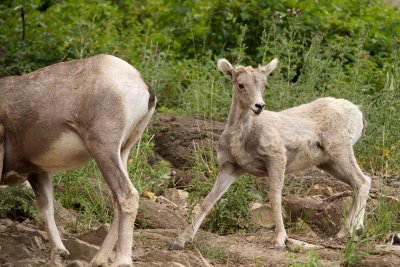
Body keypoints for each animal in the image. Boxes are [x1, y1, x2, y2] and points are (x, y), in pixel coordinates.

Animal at [0, 54, 156, 266]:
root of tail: (142, 84)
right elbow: (46, 211)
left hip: (104, 150)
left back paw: (120, 261)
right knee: (117, 201)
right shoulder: (38, 172)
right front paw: (58, 255)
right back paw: (98, 260)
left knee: (127, 196)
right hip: (123, 152)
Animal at [170, 57, 372, 250]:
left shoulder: (276, 159)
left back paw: (356, 230)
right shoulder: (231, 168)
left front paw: (279, 240)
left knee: (362, 181)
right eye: (241, 85)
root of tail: (357, 112)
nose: (259, 106)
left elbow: (275, 198)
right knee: (358, 183)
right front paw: (179, 241)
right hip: (328, 163)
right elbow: (209, 200)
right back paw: (343, 232)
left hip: (341, 150)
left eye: (264, 85)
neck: (245, 136)